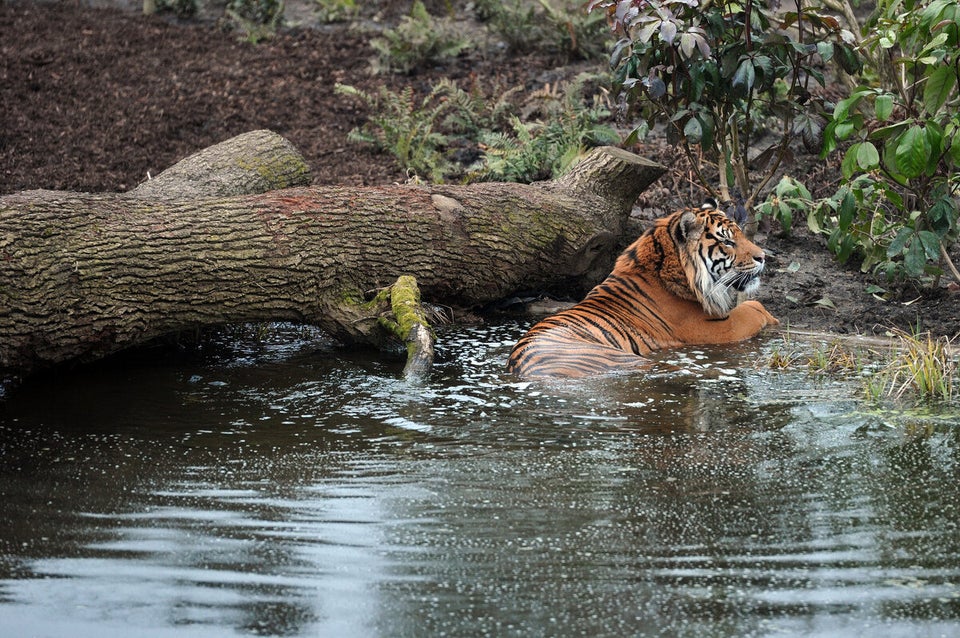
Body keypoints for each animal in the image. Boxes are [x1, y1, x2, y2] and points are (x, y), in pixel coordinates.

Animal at [506, 201, 776, 380]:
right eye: (728, 241)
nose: (763, 257)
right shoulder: (716, 328)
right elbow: (753, 308)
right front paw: (773, 319)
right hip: (631, 361)